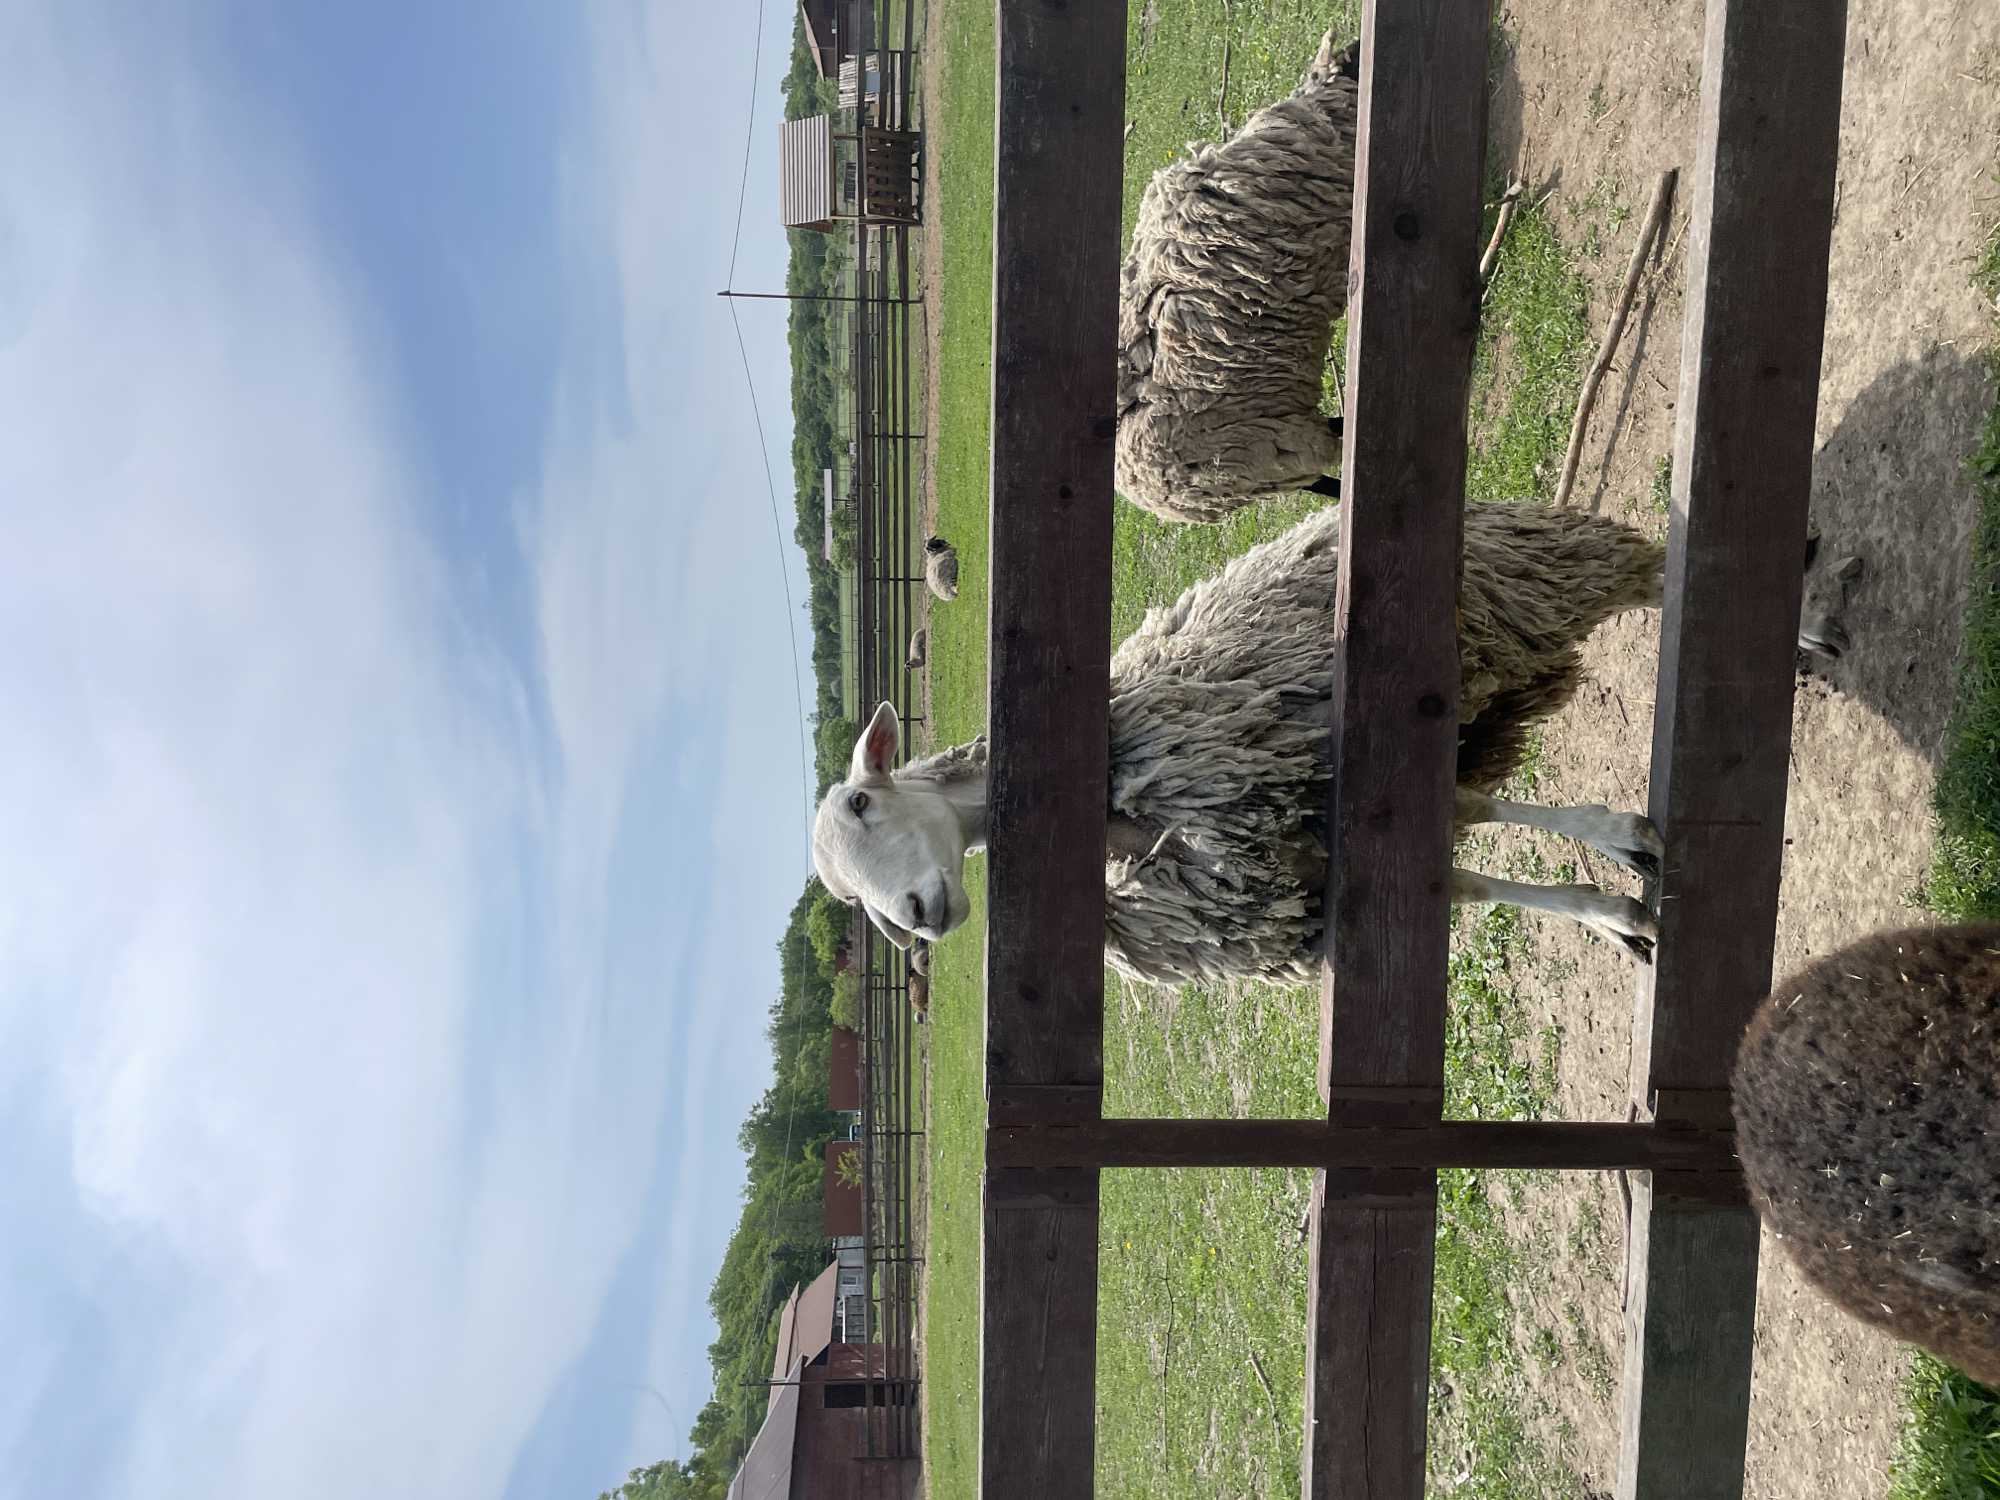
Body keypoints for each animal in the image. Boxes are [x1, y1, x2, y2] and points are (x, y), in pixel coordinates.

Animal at [812, 501, 1669, 985]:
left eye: (861, 801)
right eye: (849, 901)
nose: (919, 916)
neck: (1125, 820)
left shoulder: (1327, 784)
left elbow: (1481, 810)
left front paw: (1622, 840)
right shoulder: (1311, 874)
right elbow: (1474, 881)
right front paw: (1613, 912)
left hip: (1531, 582)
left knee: (1639, 568)